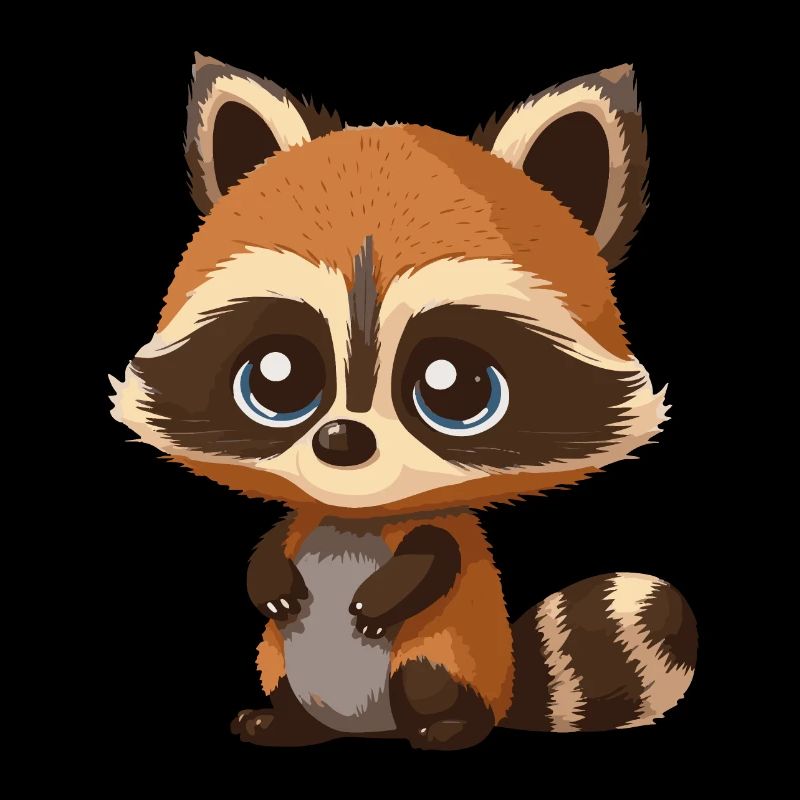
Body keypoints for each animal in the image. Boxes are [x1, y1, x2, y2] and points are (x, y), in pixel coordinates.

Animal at [110, 54, 697, 749]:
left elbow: (440, 553)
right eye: (277, 376)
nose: (342, 442)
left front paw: (397, 587)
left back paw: (446, 726)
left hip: (445, 657)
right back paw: (286, 722)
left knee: (428, 678)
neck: (358, 516)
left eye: (455, 385)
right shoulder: (308, 519)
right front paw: (267, 576)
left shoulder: (442, 541)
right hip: (278, 661)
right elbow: (278, 538)